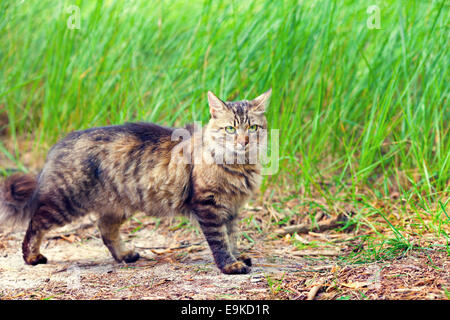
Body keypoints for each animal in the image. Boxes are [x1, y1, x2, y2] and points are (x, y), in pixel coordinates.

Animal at [0, 89, 270, 274]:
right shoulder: (209, 206)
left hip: (117, 206)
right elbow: (219, 241)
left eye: (253, 128)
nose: (244, 141)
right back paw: (31, 257)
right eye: (230, 130)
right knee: (36, 222)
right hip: (66, 202)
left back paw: (125, 255)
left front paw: (238, 257)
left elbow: (232, 237)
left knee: (105, 229)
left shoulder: (231, 209)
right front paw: (230, 266)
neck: (239, 166)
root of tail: (60, 144)